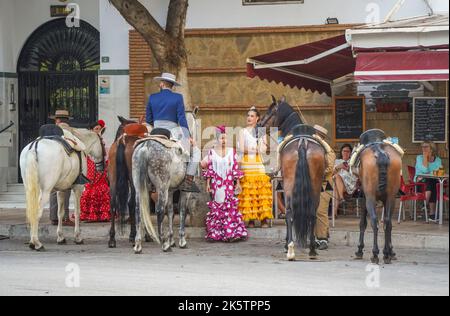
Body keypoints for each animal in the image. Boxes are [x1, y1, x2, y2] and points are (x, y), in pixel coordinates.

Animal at [258, 97, 326, 260]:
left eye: (270, 111)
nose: (258, 125)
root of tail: (302, 143)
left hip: (289, 185)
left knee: (289, 212)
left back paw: (290, 248)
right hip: (314, 186)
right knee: (312, 212)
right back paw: (312, 249)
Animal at [356, 128, 400, 264]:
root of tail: (381, 152)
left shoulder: (363, 197)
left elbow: (363, 223)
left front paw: (359, 249)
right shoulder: (389, 199)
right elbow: (388, 223)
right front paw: (390, 251)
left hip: (370, 197)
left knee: (374, 220)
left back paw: (375, 254)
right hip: (391, 197)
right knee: (387, 221)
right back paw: (385, 254)